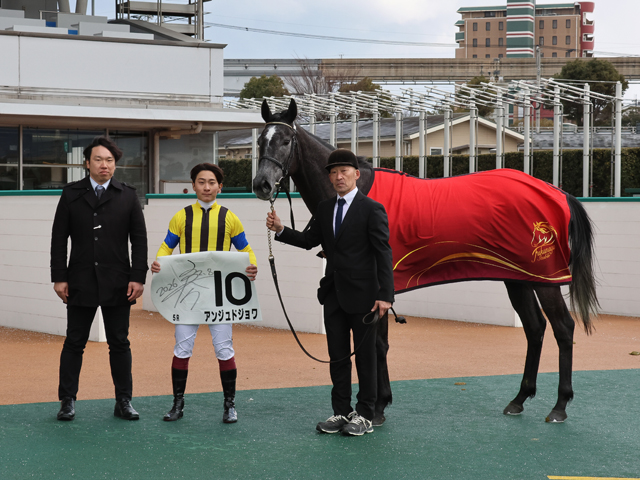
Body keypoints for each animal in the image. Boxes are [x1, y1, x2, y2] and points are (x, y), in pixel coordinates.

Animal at [253, 98, 599, 424]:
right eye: (260, 140)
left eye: (286, 140)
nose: (262, 185)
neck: (356, 192)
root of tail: (556, 191)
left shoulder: (378, 289)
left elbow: (377, 345)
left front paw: (377, 408)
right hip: (518, 277)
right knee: (535, 327)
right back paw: (519, 399)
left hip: (547, 278)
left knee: (563, 328)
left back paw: (560, 405)